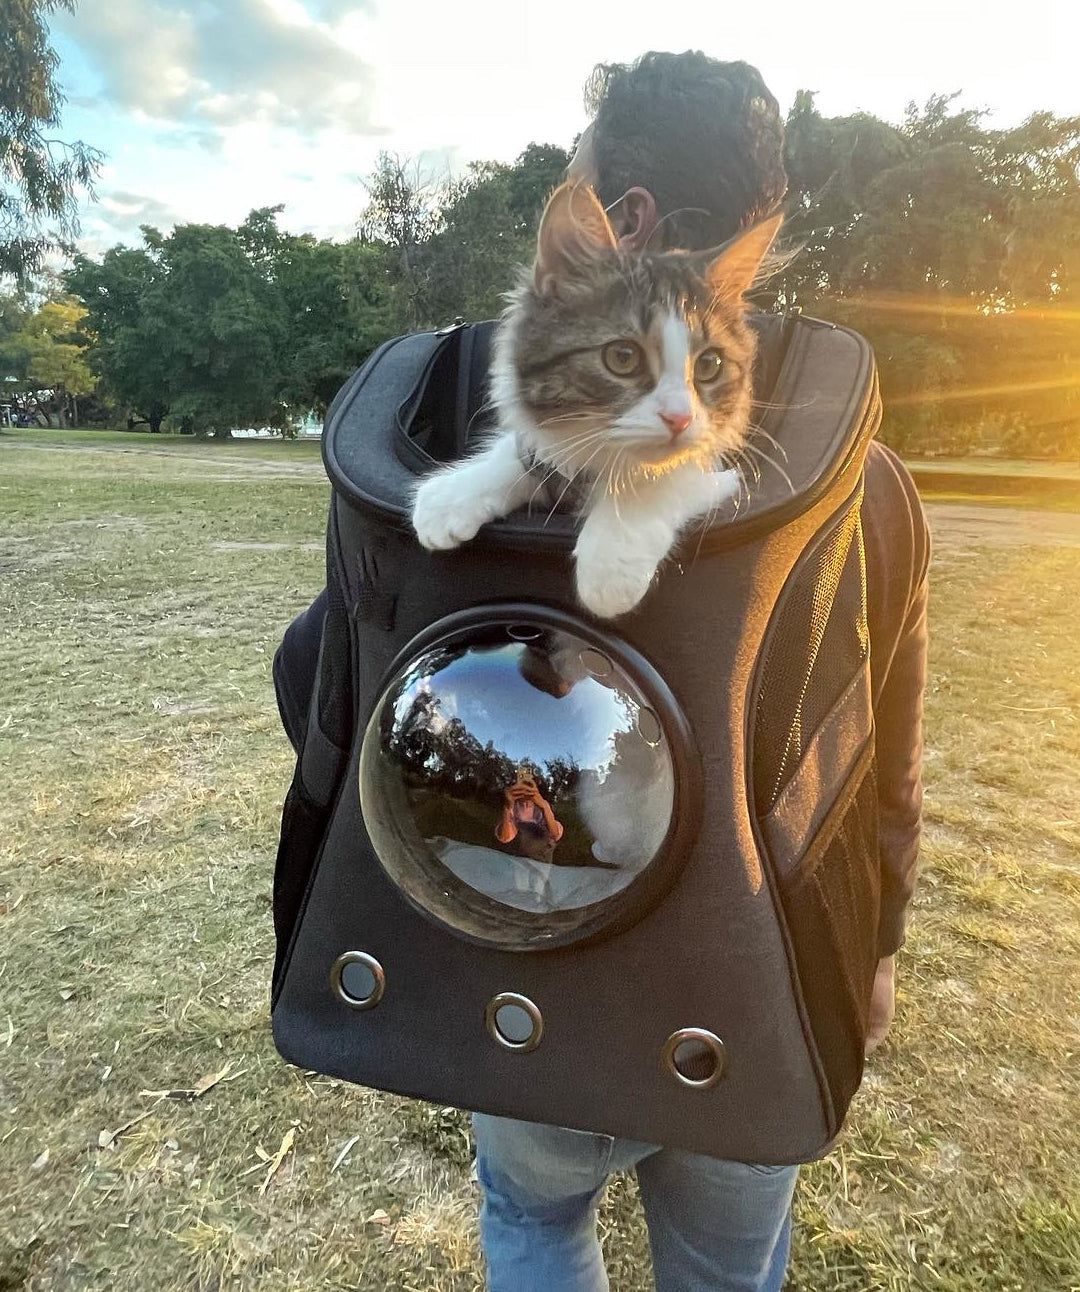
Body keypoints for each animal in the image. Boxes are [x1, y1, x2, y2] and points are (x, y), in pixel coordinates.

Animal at [408, 182, 780, 620]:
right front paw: (450, 496)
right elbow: (523, 456)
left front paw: (611, 565)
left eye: (709, 365)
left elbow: (658, 478)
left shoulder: (722, 471)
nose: (679, 418)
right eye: (622, 357)